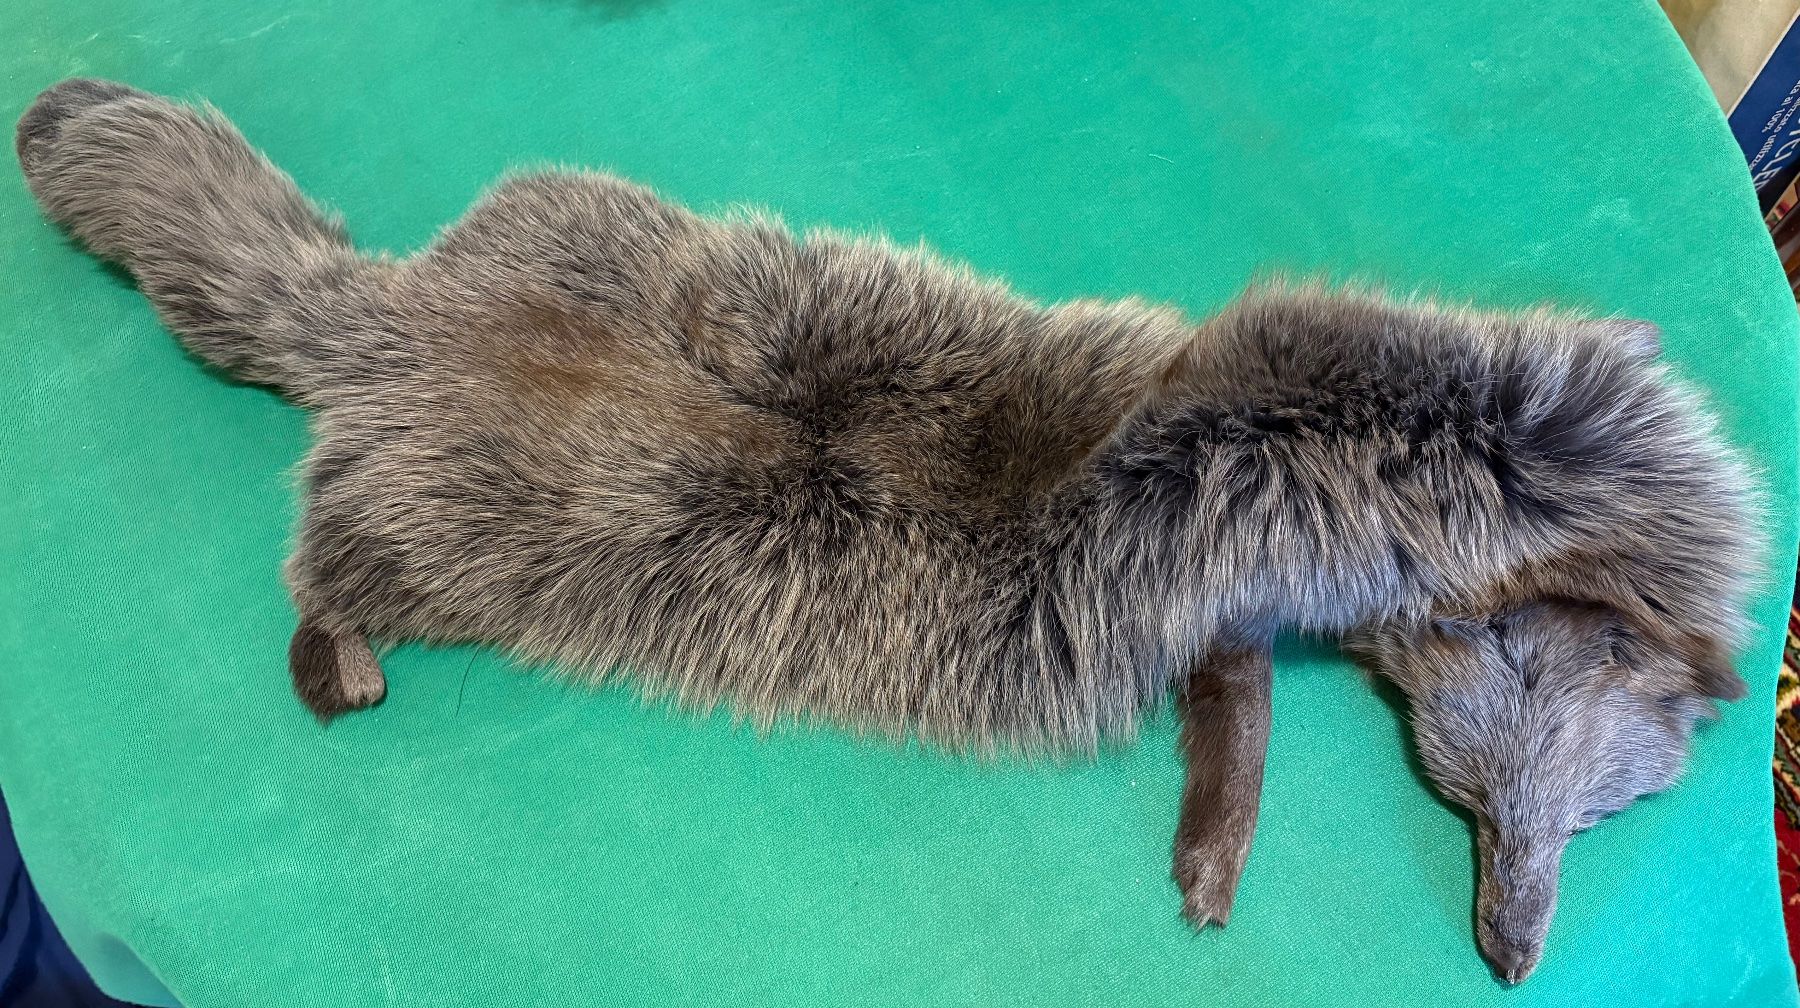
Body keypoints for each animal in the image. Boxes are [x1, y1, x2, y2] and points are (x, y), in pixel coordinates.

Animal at [16, 78, 1761, 985]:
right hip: (439, 531)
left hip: (555, 238)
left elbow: (1236, 711)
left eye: (1574, 821)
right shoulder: (1211, 581)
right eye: (1472, 804)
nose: (1512, 955)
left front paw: (1212, 845)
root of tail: (388, 319)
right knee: (323, 563)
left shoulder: (1218, 618)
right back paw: (336, 654)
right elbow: (1242, 717)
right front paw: (1222, 844)